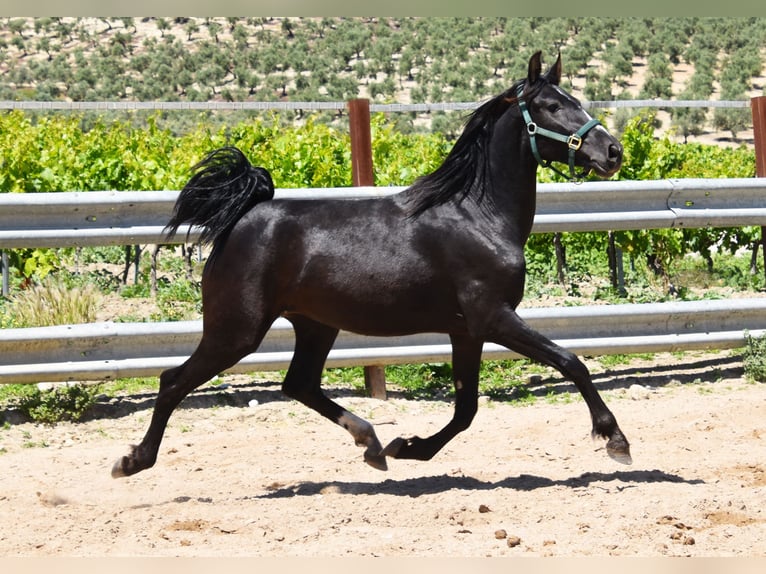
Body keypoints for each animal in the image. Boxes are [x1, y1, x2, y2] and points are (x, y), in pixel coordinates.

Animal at [112, 51, 632, 480]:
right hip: (236, 330)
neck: (478, 215)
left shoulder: (466, 330)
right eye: (550, 106)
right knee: (174, 381)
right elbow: (570, 362)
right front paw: (616, 440)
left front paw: (409, 447)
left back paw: (374, 444)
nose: (613, 151)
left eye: (575, 99)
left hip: (314, 325)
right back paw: (132, 461)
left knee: (299, 384)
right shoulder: (494, 317)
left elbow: (466, 409)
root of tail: (241, 218)